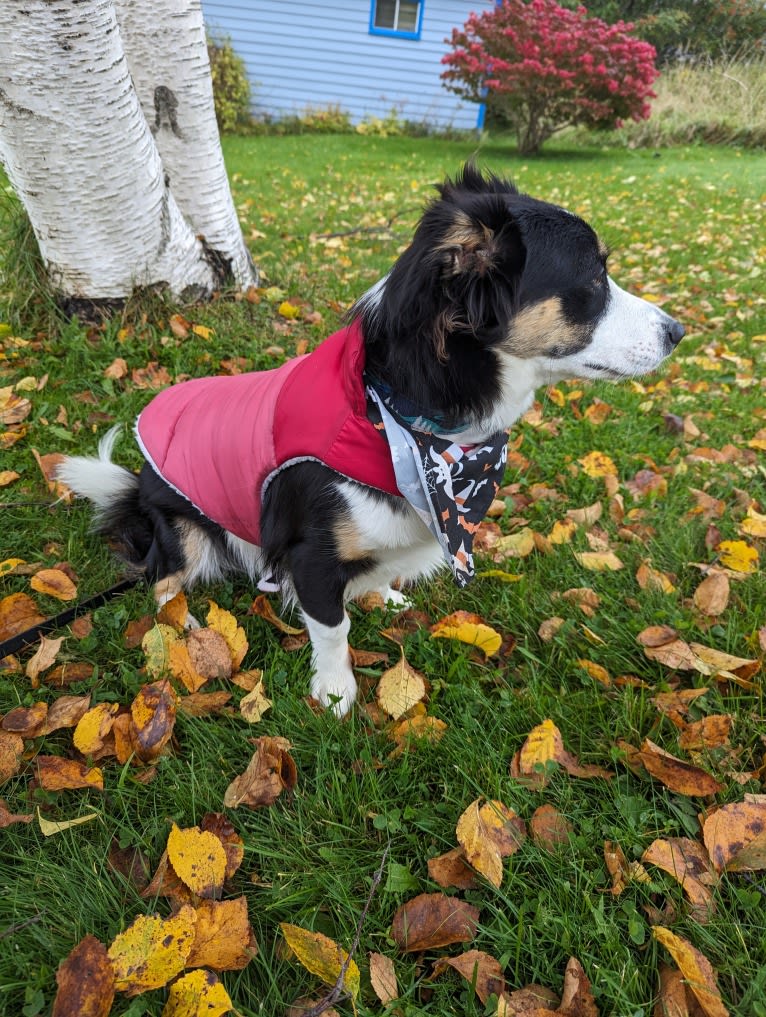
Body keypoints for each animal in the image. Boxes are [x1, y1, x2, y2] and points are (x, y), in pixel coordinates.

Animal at [56, 164, 683, 715]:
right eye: (595, 279)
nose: (678, 332)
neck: (399, 417)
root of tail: (137, 489)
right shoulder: (310, 556)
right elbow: (334, 628)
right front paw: (336, 693)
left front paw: (383, 596)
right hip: (183, 532)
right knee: (161, 582)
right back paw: (184, 626)